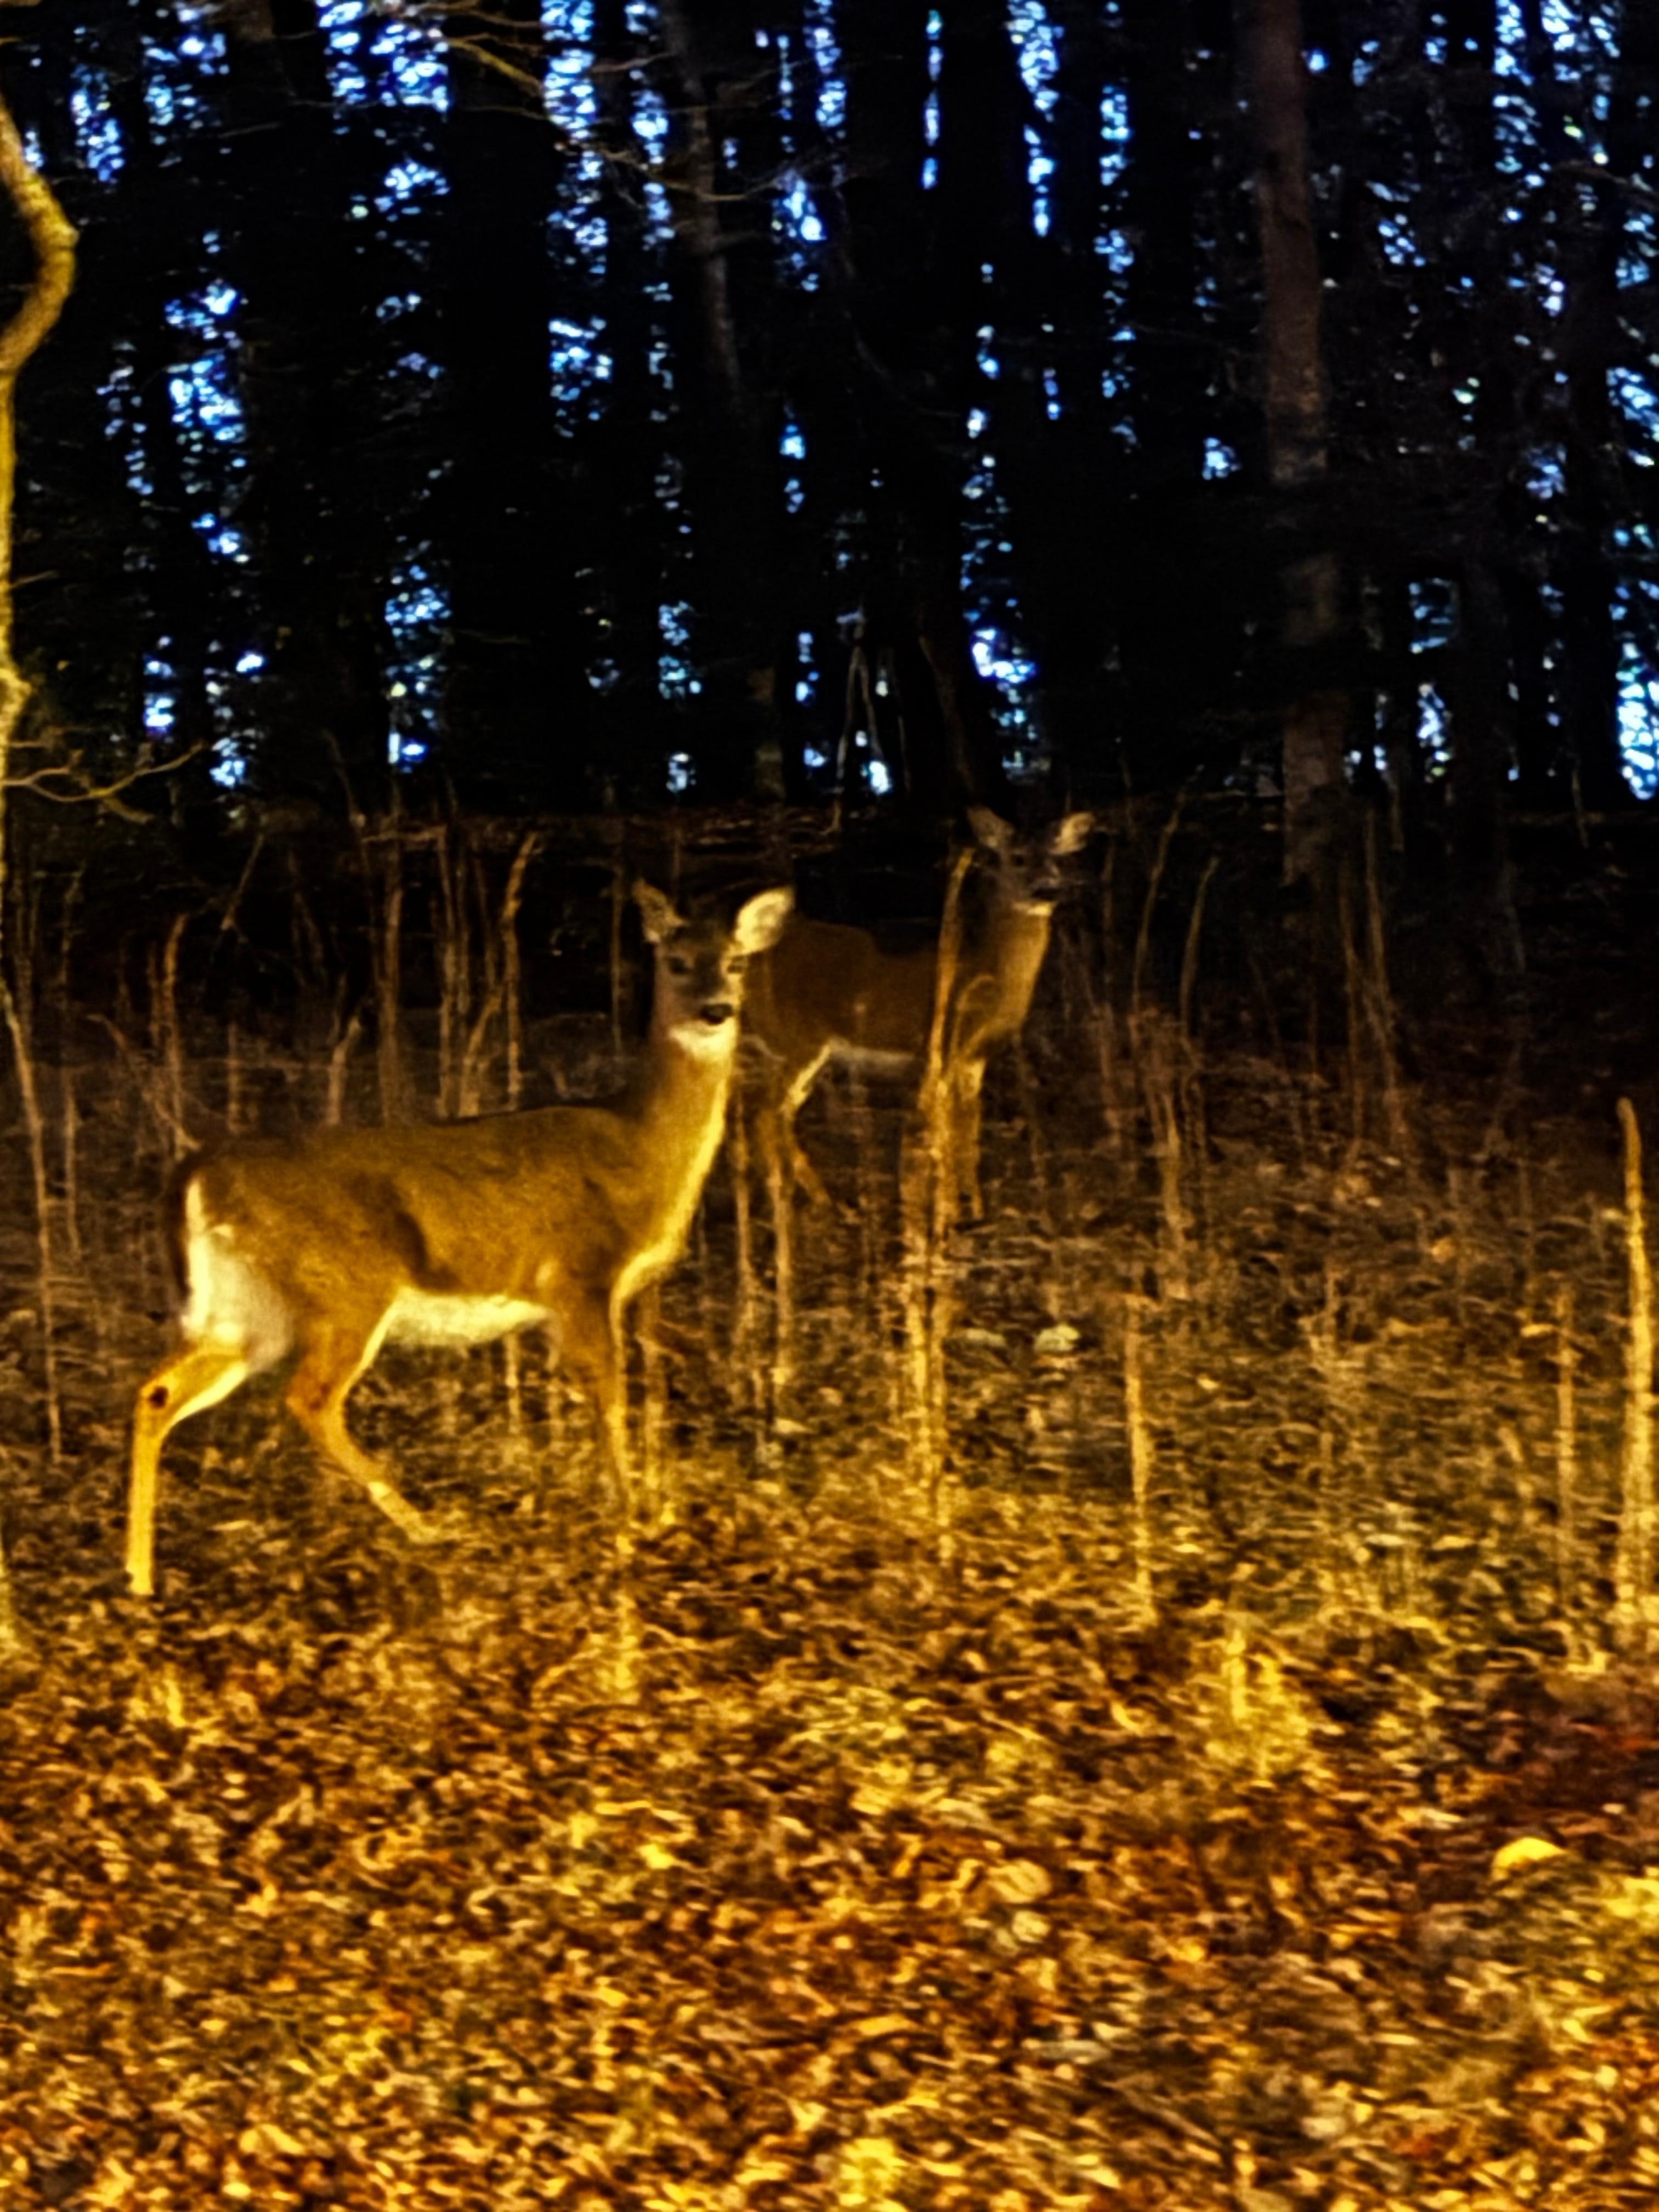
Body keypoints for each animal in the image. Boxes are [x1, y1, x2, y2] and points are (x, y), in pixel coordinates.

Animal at [125, 880, 794, 1598]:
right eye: (676, 962)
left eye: (736, 963)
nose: (717, 1010)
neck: (640, 1146)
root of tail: (197, 1172)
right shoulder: (582, 1274)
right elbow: (610, 1395)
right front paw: (634, 1515)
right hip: (345, 1290)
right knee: (309, 1400)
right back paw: (426, 1526)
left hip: (248, 1311)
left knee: (160, 1391)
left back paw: (138, 1574)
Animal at [743, 808, 1094, 1222]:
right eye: (1018, 858)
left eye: (1056, 859)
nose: (1047, 890)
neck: (987, 971)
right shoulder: (945, 1047)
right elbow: (947, 1131)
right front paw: (954, 1212)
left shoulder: (975, 1058)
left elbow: (970, 1131)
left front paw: (977, 1207)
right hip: (796, 1038)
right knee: (767, 1113)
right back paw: (819, 1203)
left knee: (772, 1114)